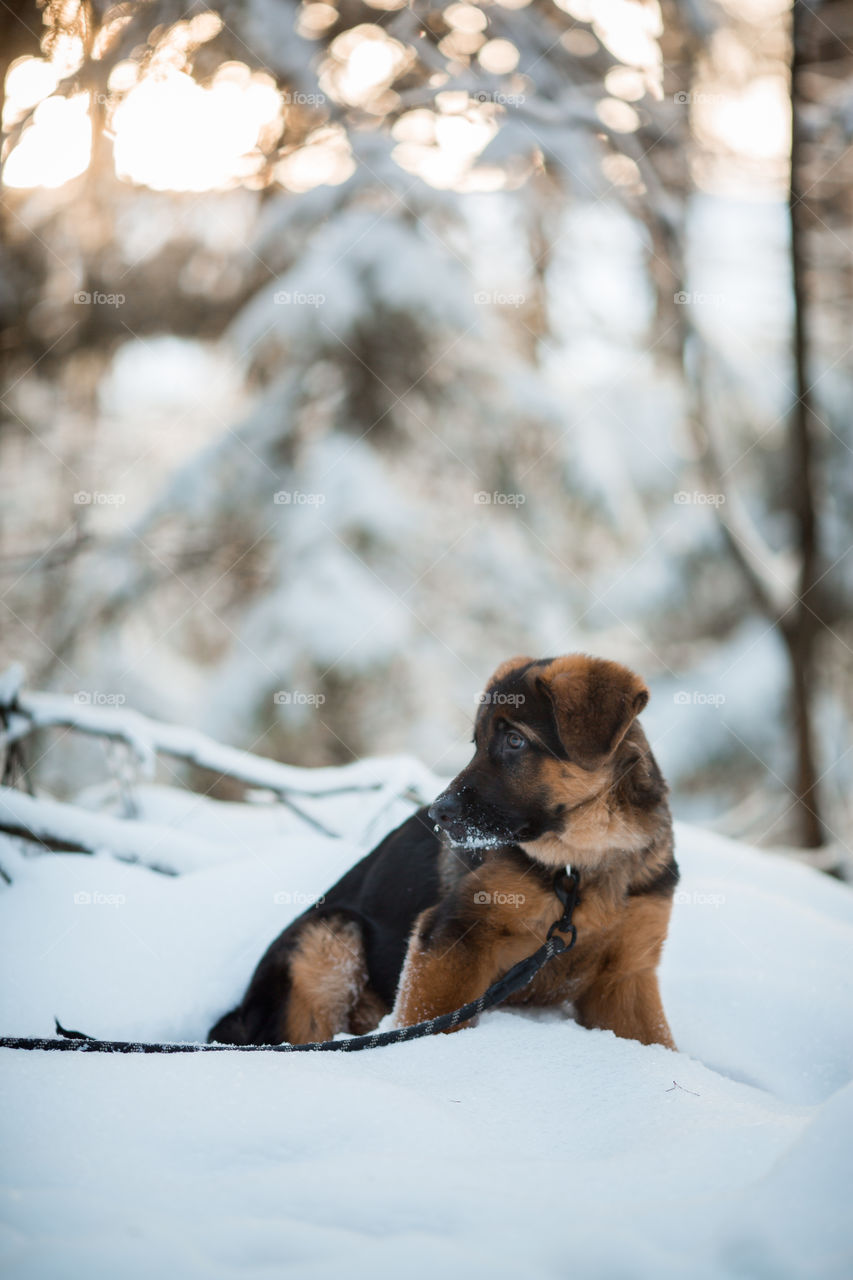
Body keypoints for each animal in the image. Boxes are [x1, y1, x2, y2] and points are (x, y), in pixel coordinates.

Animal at [211, 660, 676, 1049]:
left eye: (514, 741)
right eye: (477, 743)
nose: (437, 813)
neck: (585, 861)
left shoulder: (627, 974)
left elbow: (655, 1040)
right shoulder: (452, 935)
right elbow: (432, 1018)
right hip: (328, 938)